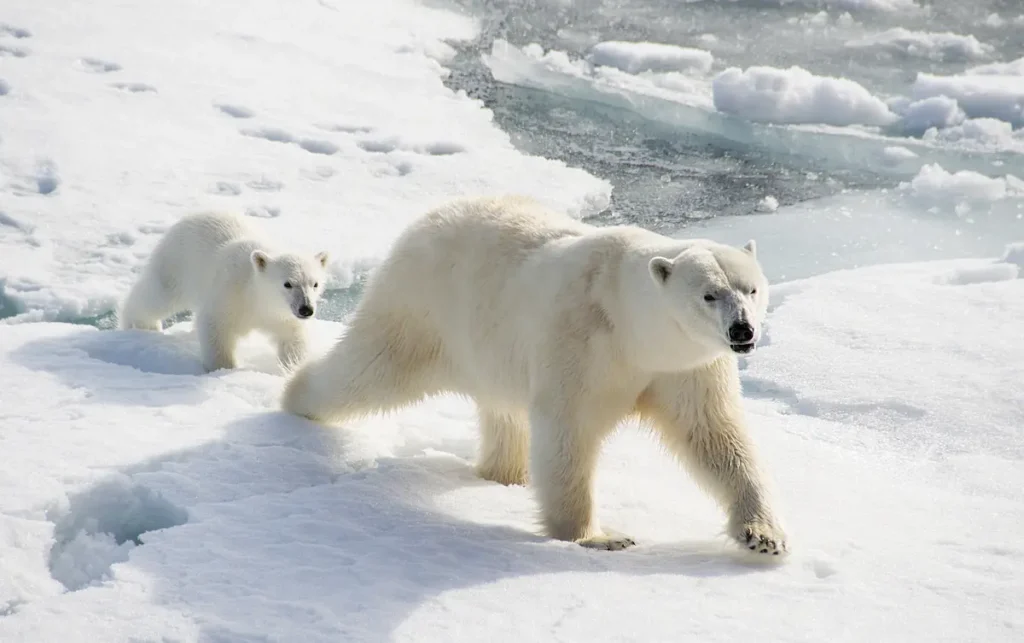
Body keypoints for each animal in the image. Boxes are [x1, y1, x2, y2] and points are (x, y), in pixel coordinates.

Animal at [118, 211, 329, 373]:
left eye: (315, 284)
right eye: (288, 284)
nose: (306, 309)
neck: (255, 297)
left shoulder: (281, 315)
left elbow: (292, 339)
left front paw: (294, 369)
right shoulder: (229, 294)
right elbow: (215, 328)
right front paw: (224, 369)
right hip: (177, 264)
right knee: (157, 296)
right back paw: (142, 325)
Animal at [281, 195, 786, 554]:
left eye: (751, 288)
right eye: (709, 294)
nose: (742, 330)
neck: (630, 323)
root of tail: (429, 216)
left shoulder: (687, 366)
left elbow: (715, 434)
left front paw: (764, 535)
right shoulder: (579, 341)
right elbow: (568, 430)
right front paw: (597, 536)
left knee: (502, 413)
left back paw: (505, 474)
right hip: (422, 307)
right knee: (369, 369)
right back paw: (294, 397)